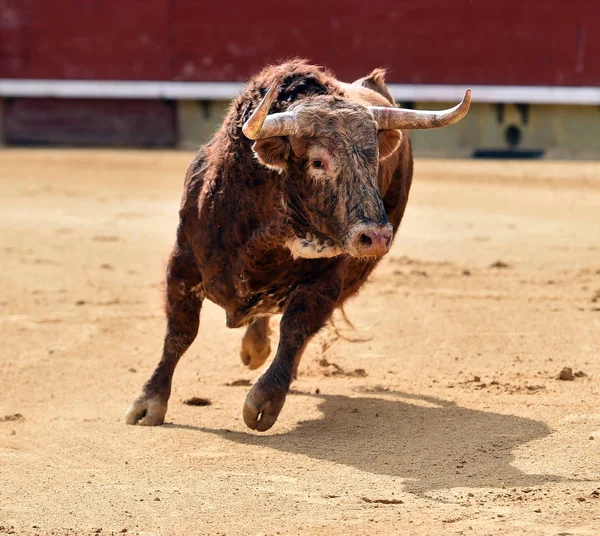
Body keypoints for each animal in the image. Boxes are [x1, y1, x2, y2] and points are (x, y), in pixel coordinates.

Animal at [126, 59, 472, 432]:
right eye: (318, 161)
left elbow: (296, 330)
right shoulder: (183, 263)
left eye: (374, 159)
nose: (377, 236)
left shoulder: (326, 281)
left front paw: (264, 402)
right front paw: (148, 404)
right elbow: (180, 332)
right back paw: (254, 348)